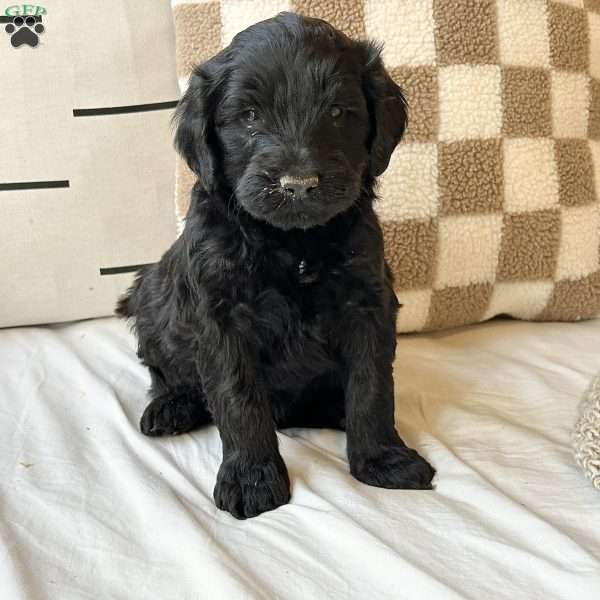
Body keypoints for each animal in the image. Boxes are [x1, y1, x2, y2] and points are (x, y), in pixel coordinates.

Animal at [117, 15, 436, 520]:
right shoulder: (221, 315)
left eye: (337, 112)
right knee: (163, 369)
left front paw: (382, 458)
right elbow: (238, 397)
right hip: (150, 296)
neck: (291, 241)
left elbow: (371, 385)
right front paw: (252, 478)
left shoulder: (367, 300)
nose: (299, 184)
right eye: (249, 116)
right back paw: (172, 406)